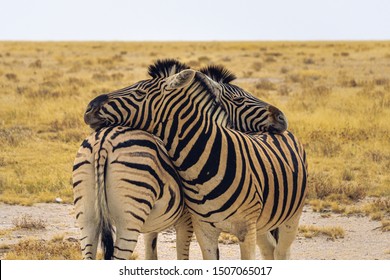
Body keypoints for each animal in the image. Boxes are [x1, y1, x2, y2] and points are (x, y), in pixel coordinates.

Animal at [72, 127, 193, 260]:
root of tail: (104, 140)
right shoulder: (188, 220)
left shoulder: (151, 227)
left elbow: (151, 254)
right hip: (129, 220)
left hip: (87, 216)